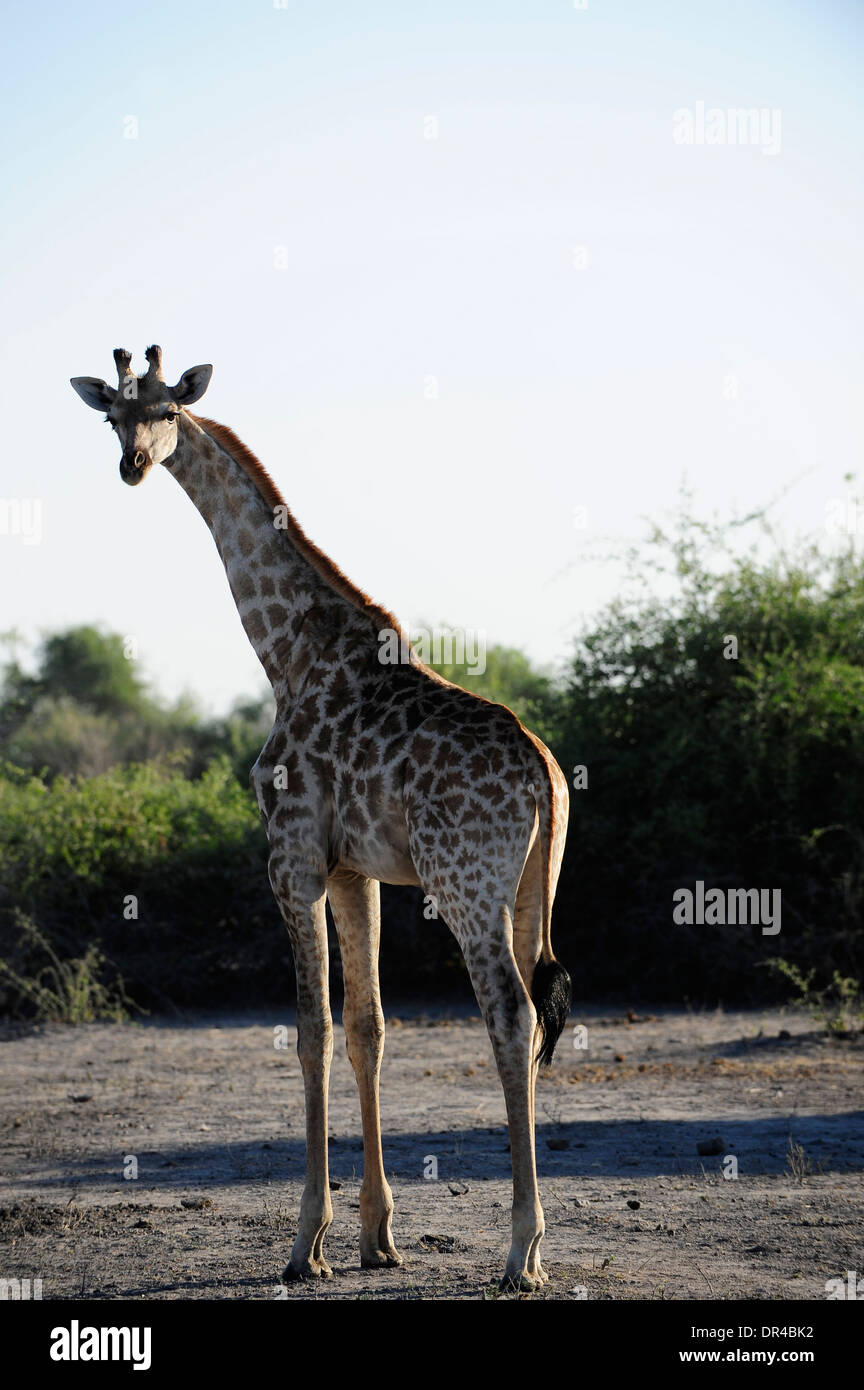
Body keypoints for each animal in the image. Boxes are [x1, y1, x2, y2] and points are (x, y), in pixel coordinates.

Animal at [71, 346, 572, 1291]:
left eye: (165, 408)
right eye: (112, 415)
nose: (133, 465)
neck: (288, 653)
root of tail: (545, 776)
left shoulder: (291, 854)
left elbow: (310, 1030)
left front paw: (305, 1242)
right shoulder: (352, 867)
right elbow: (368, 1028)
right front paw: (378, 1236)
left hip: (465, 885)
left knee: (512, 1014)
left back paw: (520, 1252)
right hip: (529, 888)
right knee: (533, 1017)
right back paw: (530, 1248)